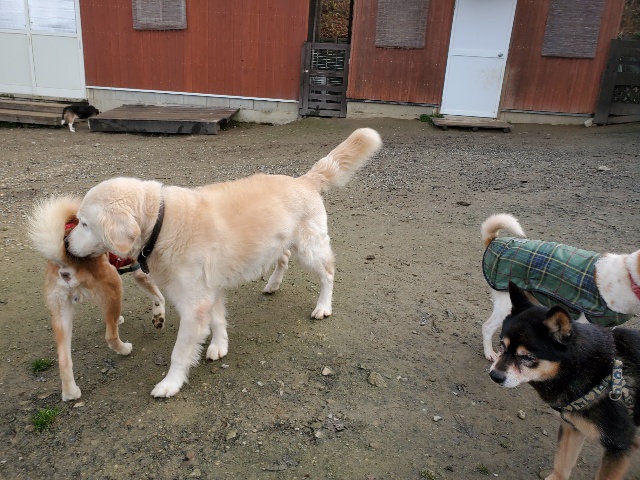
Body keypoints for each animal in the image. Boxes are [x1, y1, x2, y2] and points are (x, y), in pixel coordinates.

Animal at [28, 195, 165, 401]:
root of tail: (63, 258)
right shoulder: (141, 273)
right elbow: (159, 297)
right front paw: (159, 316)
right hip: (114, 285)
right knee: (110, 336)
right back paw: (124, 349)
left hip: (61, 314)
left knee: (64, 360)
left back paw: (71, 393)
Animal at [65, 127, 382, 398]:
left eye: (84, 224)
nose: (66, 244)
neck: (161, 222)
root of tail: (303, 180)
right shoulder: (210, 291)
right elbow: (218, 320)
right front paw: (220, 345)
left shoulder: (194, 304)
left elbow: (179, 353)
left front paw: (170, 384)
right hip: (278, 244)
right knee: (283, 259)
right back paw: (273, 284)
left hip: (310, 249)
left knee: (328, 272)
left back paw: (323, 306)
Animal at [481, 213, 640, 361]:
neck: (629, 278)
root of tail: (493, 240)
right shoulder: (584, 321)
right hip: (505, 303)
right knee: (487, 327)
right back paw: (490, 353)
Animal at [489, 282, 640, 480]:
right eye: (502, 345)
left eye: (527, 357)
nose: (494, 376)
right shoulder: (572, 427)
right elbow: (561, 464)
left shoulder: (620, 446)